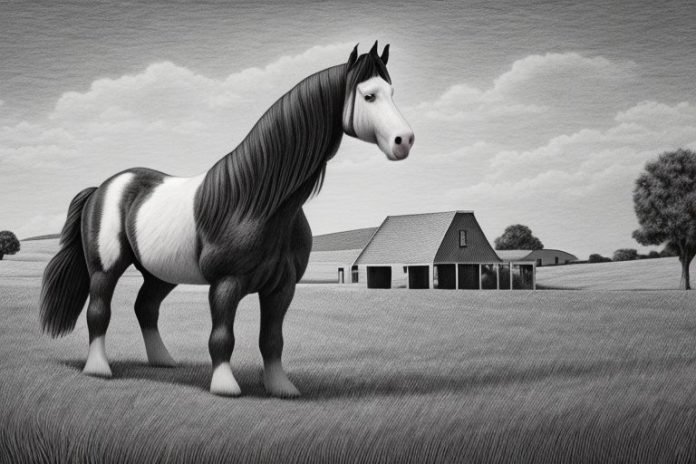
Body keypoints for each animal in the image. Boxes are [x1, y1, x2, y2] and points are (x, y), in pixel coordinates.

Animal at [39, 42, 414, 398]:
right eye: (368, 95)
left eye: (393, 91)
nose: (405, 141)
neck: (258, 202)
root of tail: (103, 187)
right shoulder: (225, 284)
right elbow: (222, 336)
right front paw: (224, 385)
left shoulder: (282, 288)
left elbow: (272, 339)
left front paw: (281, 387)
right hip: (105, 268)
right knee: (99, 311)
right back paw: (99, 368)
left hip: (160, 273)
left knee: (146, 307)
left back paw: (163, 361)